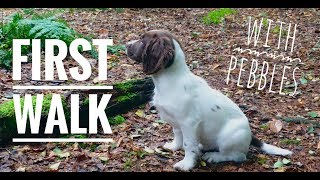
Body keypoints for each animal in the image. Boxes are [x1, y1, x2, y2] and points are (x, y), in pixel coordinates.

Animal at [125, 30, 292, 171]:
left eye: (142, 40)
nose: (126, 44)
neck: (170, 80)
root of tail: (250, 136)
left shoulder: (189, 122)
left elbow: (188, 144)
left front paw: (186, 164)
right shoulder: (176, 121)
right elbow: (177, 135)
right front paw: (173, 146)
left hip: (228, 136)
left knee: (237, 156)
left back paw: (214, 156)